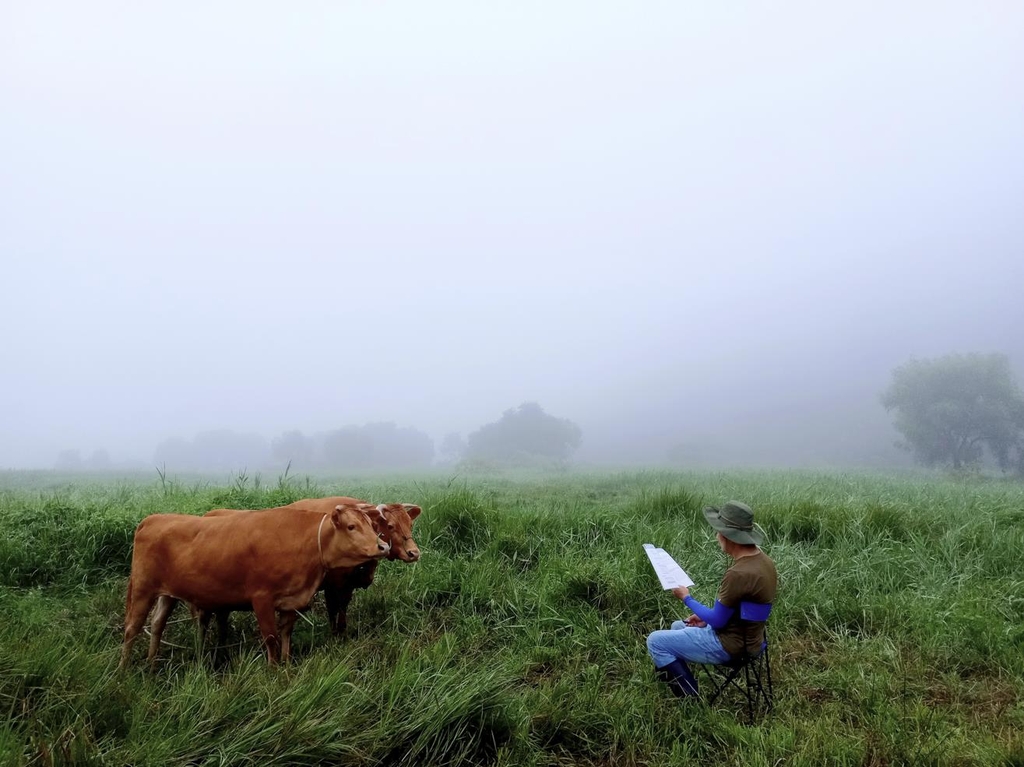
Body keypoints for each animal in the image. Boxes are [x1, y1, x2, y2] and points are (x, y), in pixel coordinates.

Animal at [118, 499, 387, 667]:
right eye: (351, 526)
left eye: (371, 525)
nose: (383, 546)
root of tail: (152, 519)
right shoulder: (261, 598)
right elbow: (271, 637)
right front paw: (273, 669)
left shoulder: (291, 601)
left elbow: (286, 633)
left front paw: (286, 662)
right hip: (143, 588)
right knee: (132, 629)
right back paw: (124, 670)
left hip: (167, 594)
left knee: (157, 624)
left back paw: (152, 664)